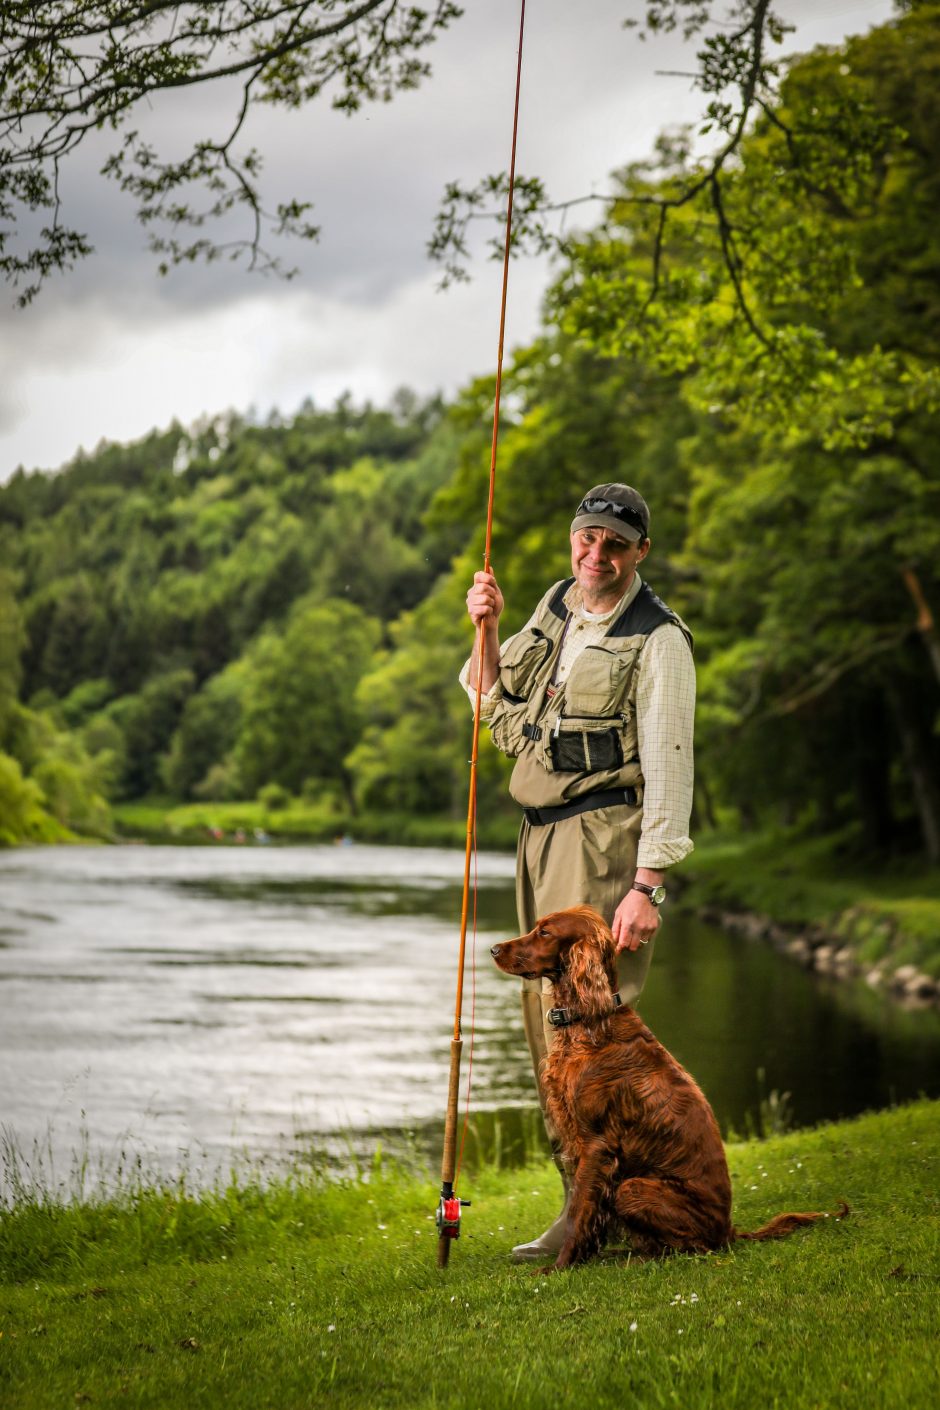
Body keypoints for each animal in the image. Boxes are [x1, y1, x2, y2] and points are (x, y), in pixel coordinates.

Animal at [490, 908, 851, 1274]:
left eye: (545, 932)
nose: (493, 949)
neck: (589, 1023)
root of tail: (728, 1230)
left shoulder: (596, 1144)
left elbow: (579, 1212)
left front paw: (560, 1266)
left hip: (633, 1188)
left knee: (694, 1247)